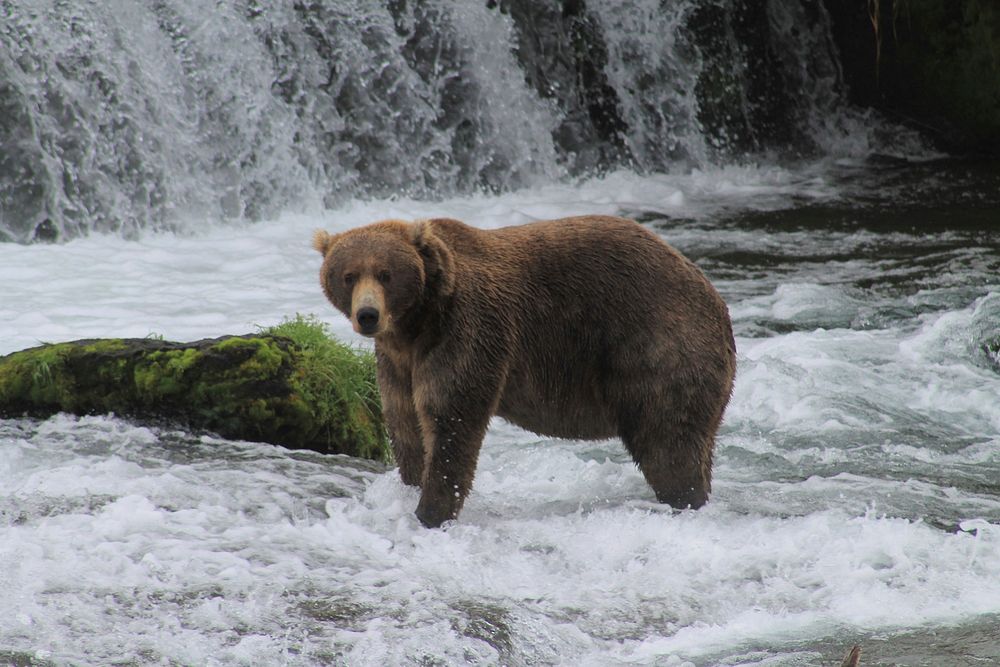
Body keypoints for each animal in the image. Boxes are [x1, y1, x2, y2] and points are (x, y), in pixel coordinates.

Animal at [312, 214, 736, 528]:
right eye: (348, 275)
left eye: (386, 273)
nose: (368, 315)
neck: (418, 322)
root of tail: (714, 295)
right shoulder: (398, 361)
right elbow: (405, 423)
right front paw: (411, 489)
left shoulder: (467, 330)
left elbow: (451, 418)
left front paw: (430, 513)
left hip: (659, 344)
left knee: (668, 441)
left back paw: (685, 499)